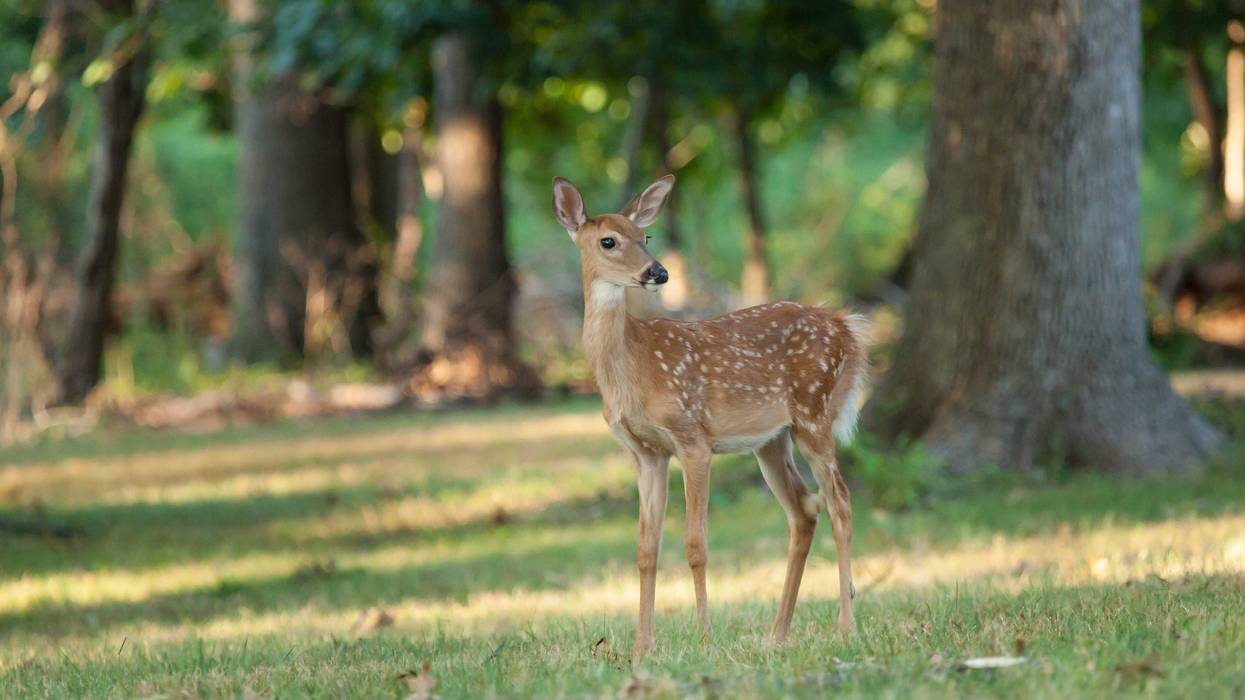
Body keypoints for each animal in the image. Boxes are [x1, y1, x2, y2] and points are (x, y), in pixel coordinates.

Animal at [552, 174, 870, 660]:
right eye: (608, 241)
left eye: (646, 236)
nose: (658, 272)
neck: (631, 369)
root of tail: (846, 326)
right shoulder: (645, 453)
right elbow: (646, 548)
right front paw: (642, 648)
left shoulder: (693, 438)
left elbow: (695, 544)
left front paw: (704, 640)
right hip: (772, 439)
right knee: (804, 508)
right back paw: (777, 634)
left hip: (814, 413)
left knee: (841, 501)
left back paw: (846, 627)